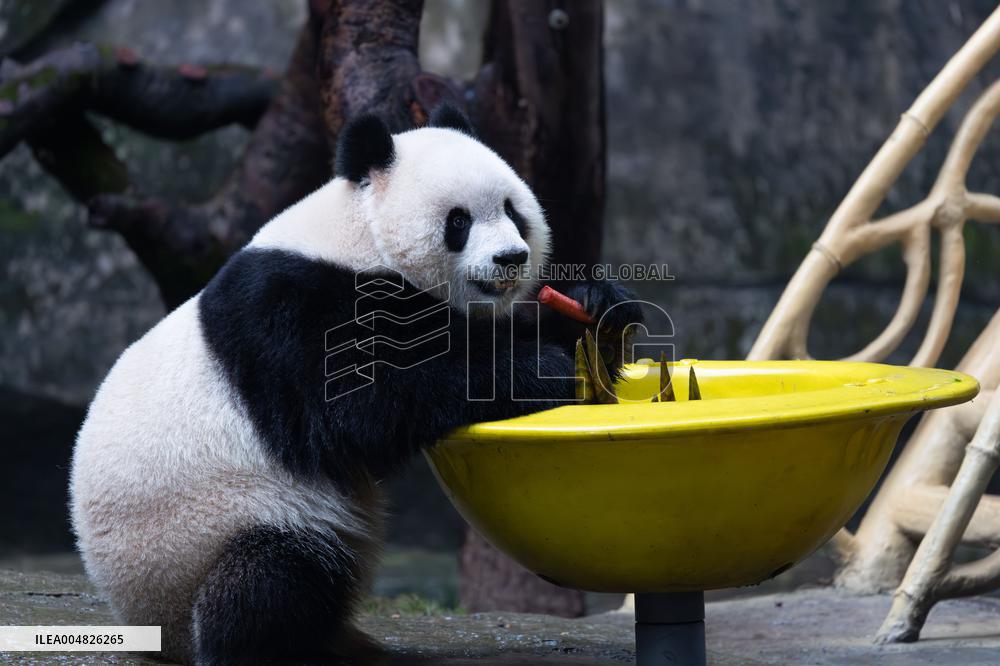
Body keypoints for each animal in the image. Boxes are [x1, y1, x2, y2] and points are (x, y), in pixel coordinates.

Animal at [70, 103, 642, 665]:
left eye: (512, 210)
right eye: (458, 220)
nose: (511, 258)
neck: (359, 237)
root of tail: (150, 627)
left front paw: (597, 309)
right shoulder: (289, 311)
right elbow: (357, 404)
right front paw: (542, 368)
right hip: (210, 530)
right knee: (272, 574)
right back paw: (272, 649)